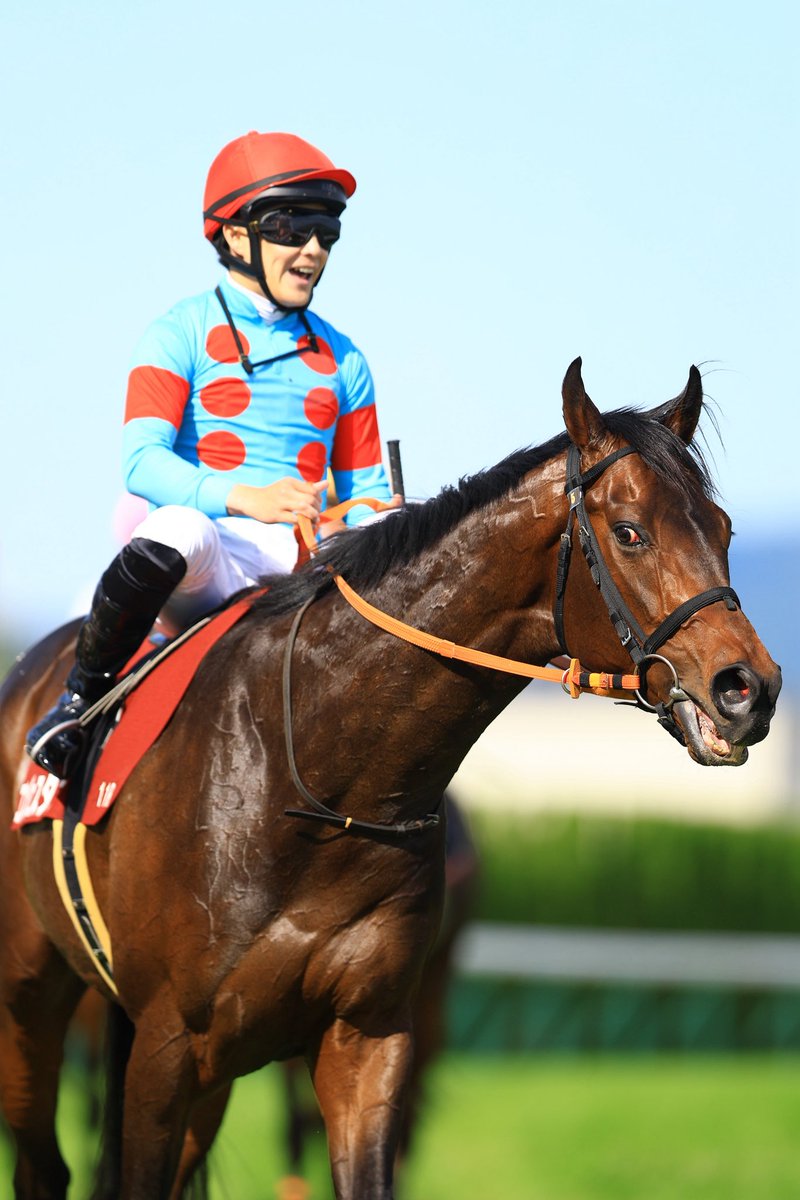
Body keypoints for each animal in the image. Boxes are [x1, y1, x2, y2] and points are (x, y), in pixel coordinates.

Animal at [0, 359, 781, 1199]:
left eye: (724, 529)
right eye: (631, 532)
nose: (751, 689)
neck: (312, 783)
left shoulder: (367, 1035)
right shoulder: (167, 1044)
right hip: (31, 997)